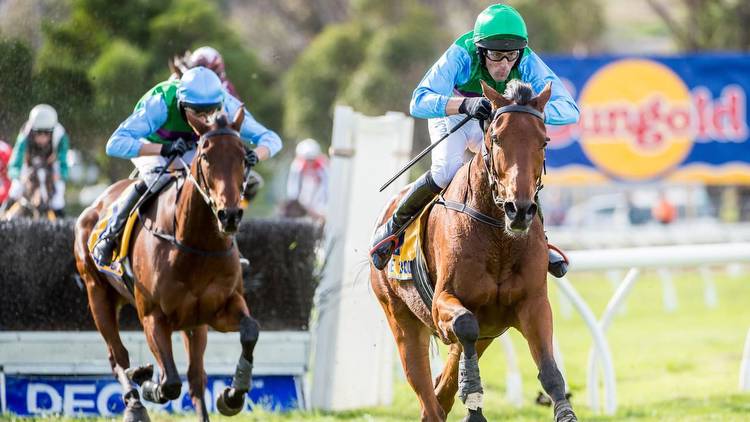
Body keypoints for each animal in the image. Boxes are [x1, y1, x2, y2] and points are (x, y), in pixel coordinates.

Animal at [74, 109, 258, 422]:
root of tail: (96, 203)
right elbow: (169, 382)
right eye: (205, 156)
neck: (196, 246)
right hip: (97, 293)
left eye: (244, 156)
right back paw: (135, 402)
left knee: (196, 377)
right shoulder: (153, 316)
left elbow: (250, 331)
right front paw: (147, 380)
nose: (230, 215)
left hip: (193, 324)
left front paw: (232, 395)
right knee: (117, 356)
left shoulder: (220, 309)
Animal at [374, 80, 580, 422]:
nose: (519, 210)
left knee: (441, 393)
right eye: (496, 138)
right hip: (401, 320)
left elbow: (550, 370)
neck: (499, 238)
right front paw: (473, 399)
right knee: (429, 401)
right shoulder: (444, 303)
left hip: (485, 334)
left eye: (544, 141)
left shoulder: (533, 304)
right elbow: (464, 324)